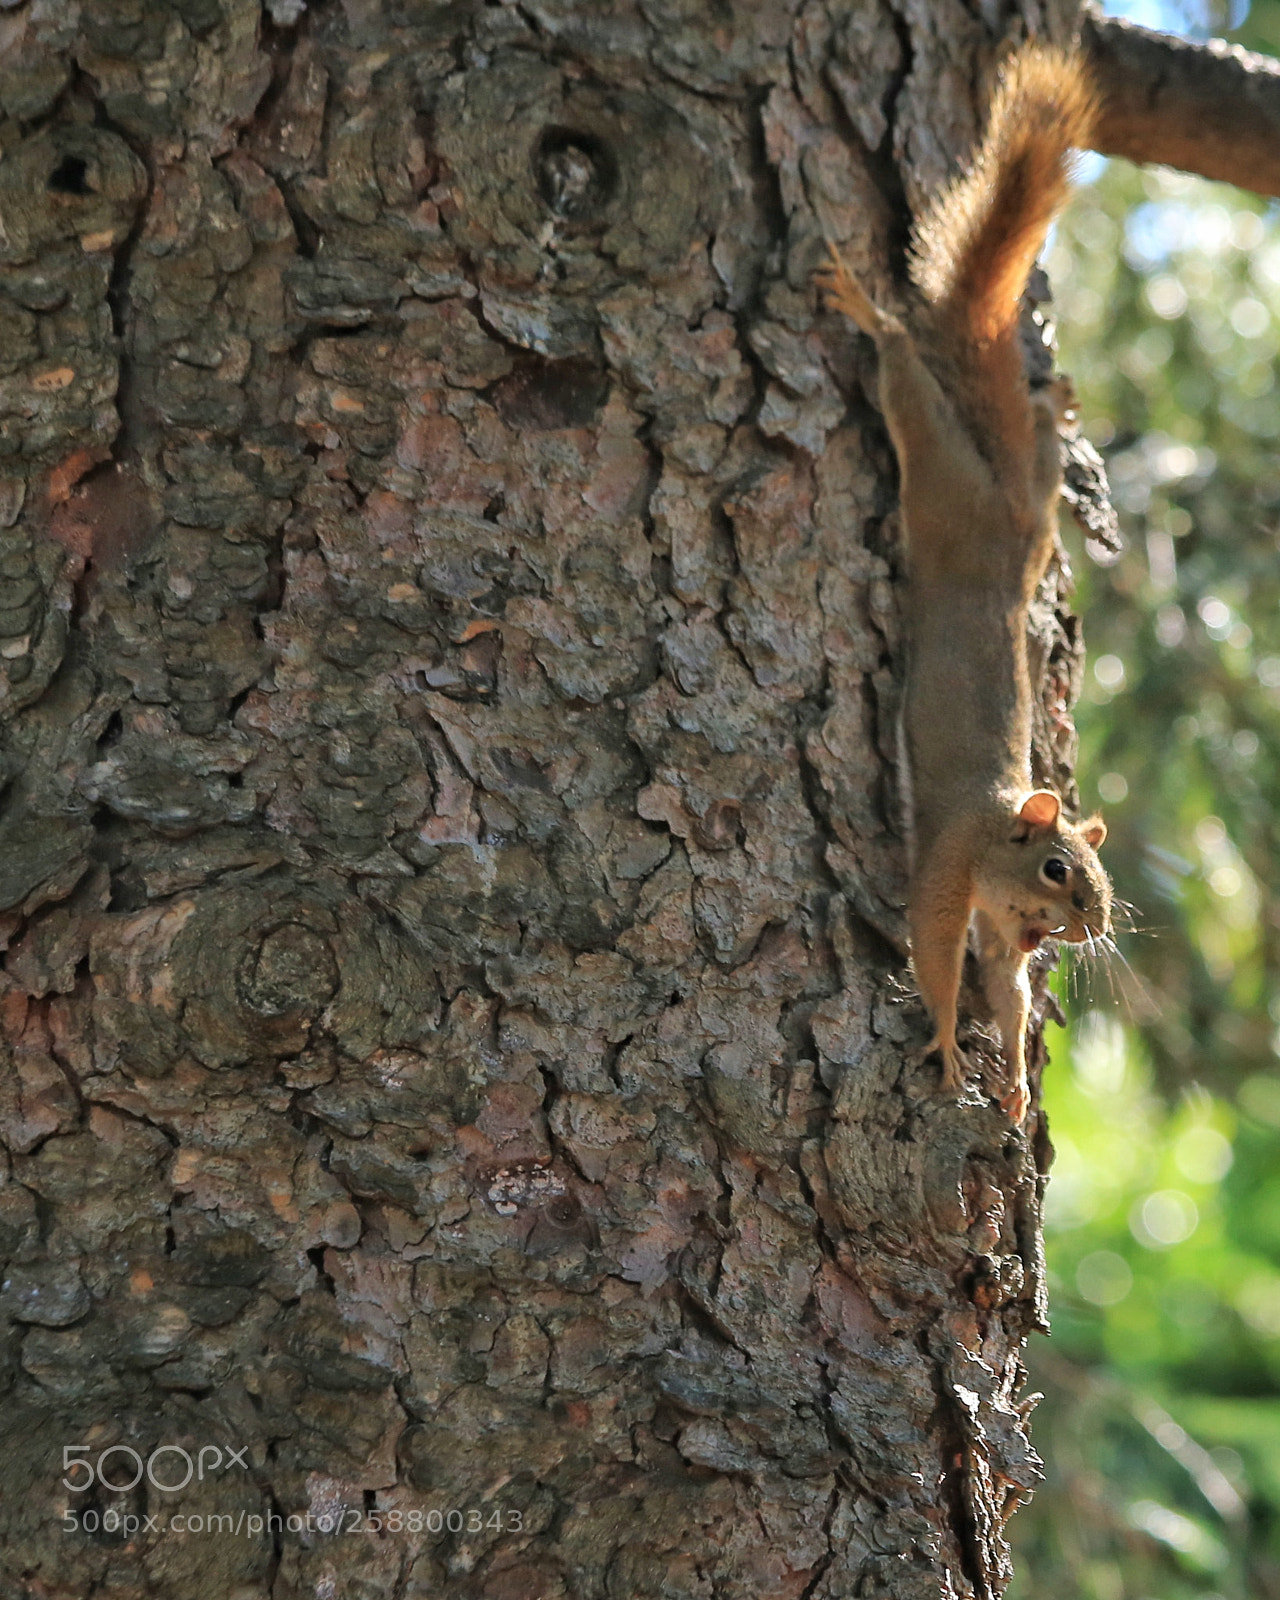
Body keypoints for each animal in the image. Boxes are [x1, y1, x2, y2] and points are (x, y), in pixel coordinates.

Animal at [817, 42, 1112, 1123]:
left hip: (1022, 507)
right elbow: (938, 954)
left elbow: (1007, 987)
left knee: (1033, 461)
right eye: (1057, 867)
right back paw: (869, 313)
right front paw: (948, 1045)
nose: (1091, 930)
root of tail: (1001, 534)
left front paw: (1016, 1084)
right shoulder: (948, 871)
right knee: (907, 378)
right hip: (938, 478)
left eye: (1101, 881)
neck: (997, 836)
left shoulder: (1006, 935)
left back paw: (1051, 406)